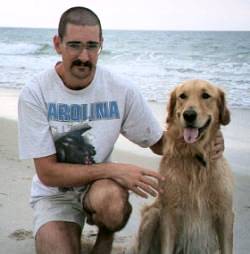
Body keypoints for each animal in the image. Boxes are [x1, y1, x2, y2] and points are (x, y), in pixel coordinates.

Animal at [136, 80, 233, 254]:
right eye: (182, 96)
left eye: (206, 95)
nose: (189, 115)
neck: (195, 156)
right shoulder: (169, 212)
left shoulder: (225, 213)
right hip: (152, 214)